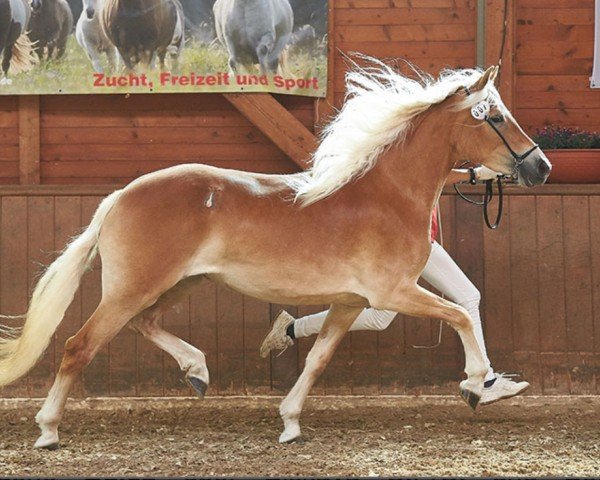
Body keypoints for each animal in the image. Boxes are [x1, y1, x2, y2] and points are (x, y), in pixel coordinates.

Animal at [0, 61, 548, 450]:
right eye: (496, 117)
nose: (540, 166)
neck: (386, 194)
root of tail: (120, 196)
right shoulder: (393, 293)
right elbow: (460, 315)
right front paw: (475, 385)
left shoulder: (351, 302)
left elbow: (318, 360)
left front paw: (289, 423)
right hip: (134, 287)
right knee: (79, 345)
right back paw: (48, 430)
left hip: (179, 283)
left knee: (144, 324)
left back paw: (197, 371)